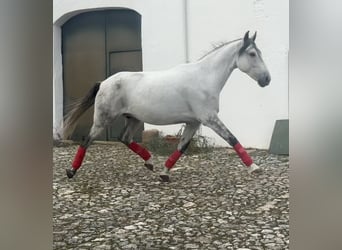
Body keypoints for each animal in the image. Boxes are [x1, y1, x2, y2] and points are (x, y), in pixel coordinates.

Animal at [62, 30, 272, 182]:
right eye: (252, 54)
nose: (267, 79)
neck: (204, 78)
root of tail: (104, 82)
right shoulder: (209, 118)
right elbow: (232, 138)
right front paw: (254, 168)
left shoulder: (194, 122)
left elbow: (182, 146)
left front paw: (164, 173)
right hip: (104, 119)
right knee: (86, 140)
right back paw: (71, 171)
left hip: (133, 118)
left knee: (125, 138)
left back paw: (150, 163)